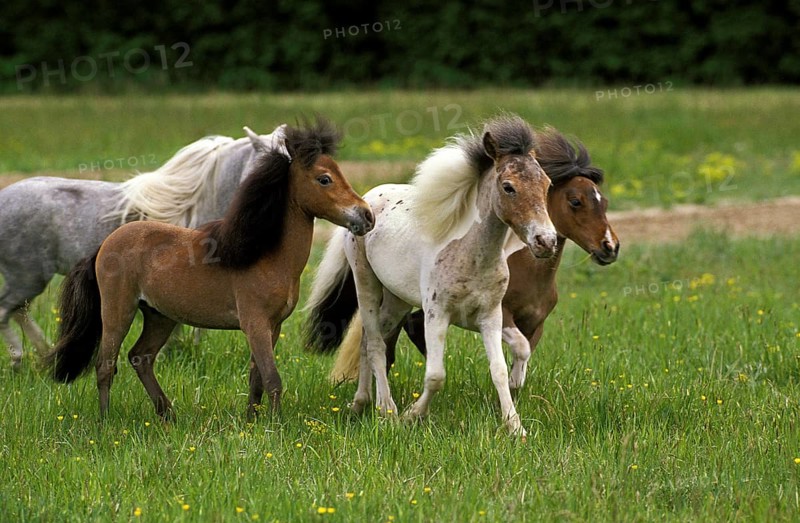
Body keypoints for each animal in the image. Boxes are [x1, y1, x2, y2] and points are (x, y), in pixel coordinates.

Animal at [42, 118, 374, 420]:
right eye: (324, 179)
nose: (366, 215)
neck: (265, 255)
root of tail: (103, 246)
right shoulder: (255, 324)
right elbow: (272, 378)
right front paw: (276, 425)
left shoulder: (273, 326)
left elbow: (256, 378)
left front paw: (252, 421)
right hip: (117, 312)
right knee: (106, 365)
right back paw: (105, 421)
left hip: (159, 316)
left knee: (141, 357)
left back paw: (168, 414)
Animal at [305, 115, 557, 436]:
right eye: (508, 187)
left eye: (547, 184)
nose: (545, 241)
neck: (473, 255)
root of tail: (366, 200)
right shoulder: (436, 314)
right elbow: (436, 375)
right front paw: (412, 416)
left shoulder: (490, 316)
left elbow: (500, 369)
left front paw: (515, 427)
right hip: (366, 284)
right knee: (374, 343)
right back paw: (387, 410)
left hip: (397, 300)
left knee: (365, 342)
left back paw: (361, 404)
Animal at [328, 127, 620, 392]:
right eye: (575, 201)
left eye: (604, 202)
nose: (611, 247)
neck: (529, 273)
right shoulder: (500, 315)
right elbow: (519, 349)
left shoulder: (534, 325)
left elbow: (522, 356)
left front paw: (512, 390)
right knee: (388, 341)